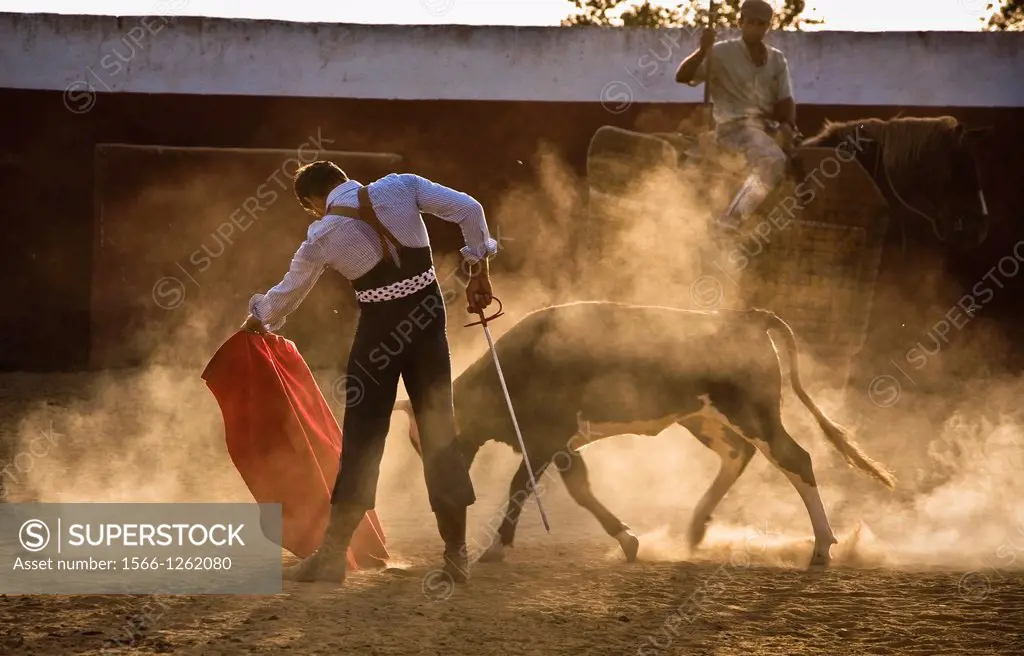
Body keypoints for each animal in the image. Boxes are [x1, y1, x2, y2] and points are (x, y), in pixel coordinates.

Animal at [391, 302, 897, 569]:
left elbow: (520, 486)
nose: (433, 489)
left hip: (753, 413)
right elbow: (580, 489)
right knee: (737, 455)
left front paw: (496, 547)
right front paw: (627, 539)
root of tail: (746, 318)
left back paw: (822, 547)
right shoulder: (562, 445)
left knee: (797, 459)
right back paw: (696, 528)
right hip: (701, 417)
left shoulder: (545, 438)